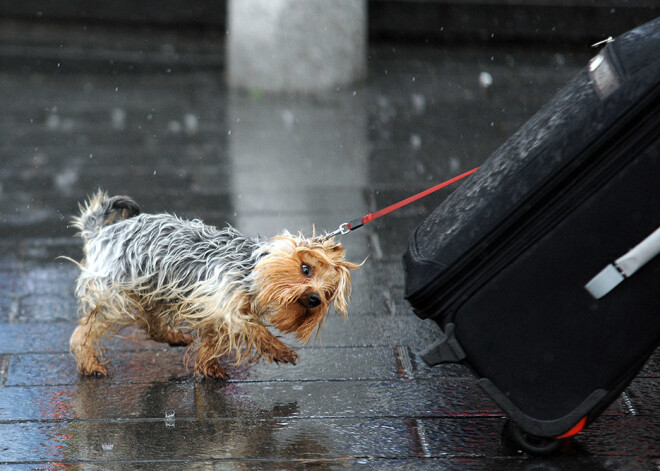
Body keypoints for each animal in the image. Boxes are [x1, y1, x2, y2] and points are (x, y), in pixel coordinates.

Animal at [67, 191, 360, 380]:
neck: (249, 269)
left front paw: (208, 367)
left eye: (328, 293)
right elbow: (253, 329)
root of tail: (100, 232)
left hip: (153, 290)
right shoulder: (224, 304)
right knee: (85, 331)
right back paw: (90, 363)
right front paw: (280, 350)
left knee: (150, 324)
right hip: (115, 295)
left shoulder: (209, 307)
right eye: (305, 269)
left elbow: (211, 340)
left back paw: (174, 336)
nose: (315, 299)